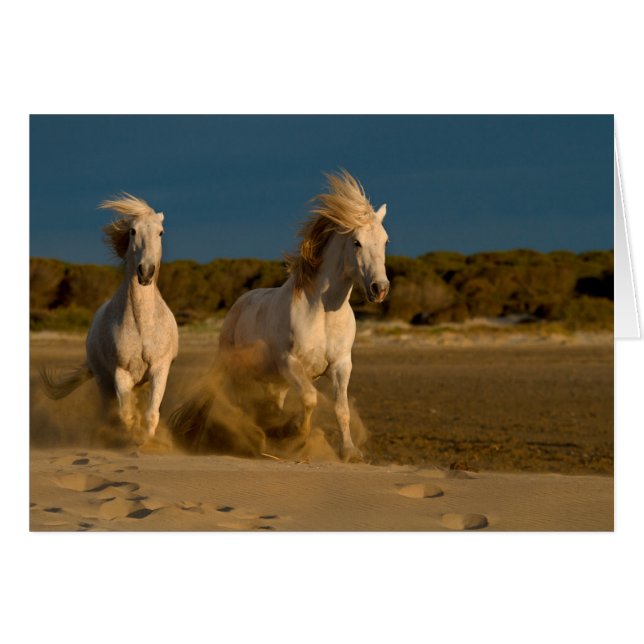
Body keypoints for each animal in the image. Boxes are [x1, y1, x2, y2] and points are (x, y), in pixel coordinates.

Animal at [40, 194, 179, 442]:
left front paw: (147, 441)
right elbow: (126, 415)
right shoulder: (120, 373)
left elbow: (150, 413)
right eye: (133, 231)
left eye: (161, 232)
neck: (143, 324)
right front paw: (130, 438)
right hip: (103, 381)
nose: (146, 272)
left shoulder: (159, 369)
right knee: (109, 411)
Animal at [172, 170, 389, 461]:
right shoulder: (290, 363)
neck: (323, 314)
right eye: (357, 242)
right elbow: (309, 398)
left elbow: (341, 409)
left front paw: (349, 452)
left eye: (385, 240)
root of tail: (239, 304)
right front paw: (291, 435)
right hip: (236, 367)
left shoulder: (342, 365)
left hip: (274, 382)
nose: (380, 288)